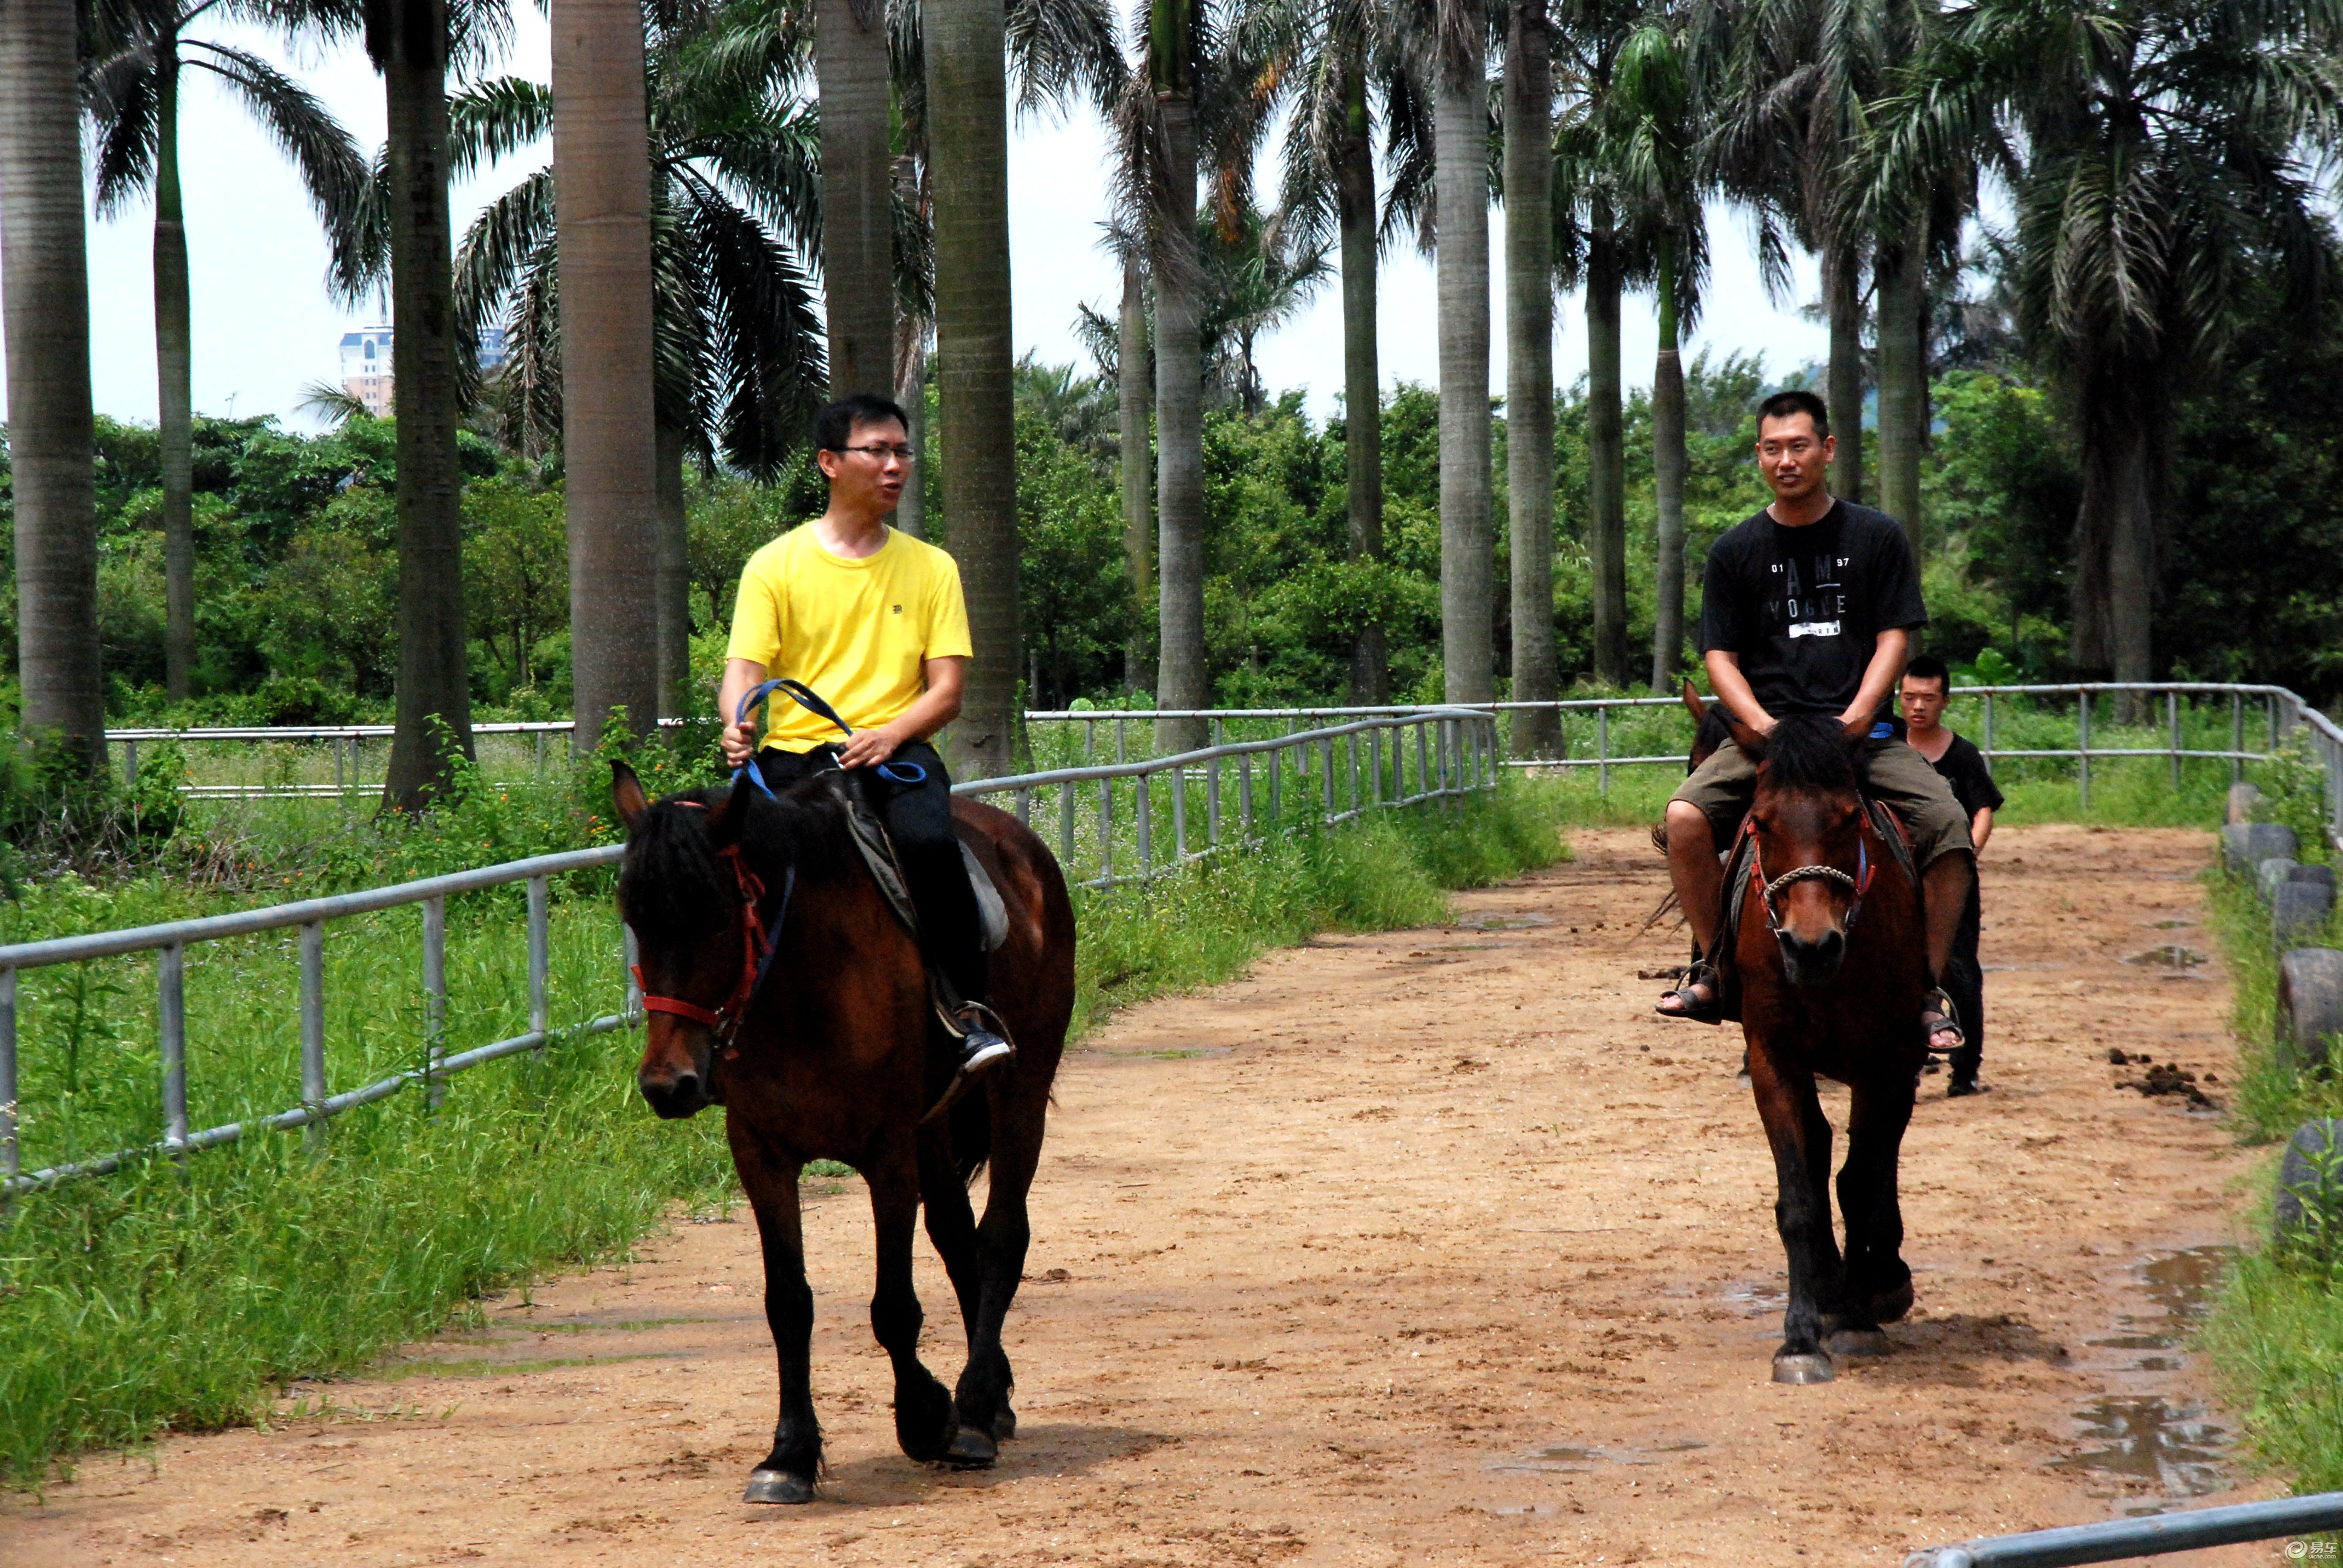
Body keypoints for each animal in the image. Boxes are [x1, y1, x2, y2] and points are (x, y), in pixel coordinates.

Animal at [609, 764, 1073, 1500]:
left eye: (716, 919)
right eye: (636, 921)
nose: (668, 1085)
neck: (800, 984)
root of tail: (1022, 847)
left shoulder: (886, 1152)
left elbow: (894, 1306)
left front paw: (926, 1417)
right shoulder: (760, 1153)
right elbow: (787, 1304)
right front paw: (789, 1455)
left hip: (1017, 1090)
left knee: (1002, 1235)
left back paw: (972, 1414)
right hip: (933, 1127)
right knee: (956, 1236)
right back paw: (994, 1400)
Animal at [1724, 708, 1921, 1378]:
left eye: (1848, 818)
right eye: (1760, 822)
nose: (1810, 946)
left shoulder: (1883, 1063)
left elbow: (1860, 1187)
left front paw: (1859, 1319)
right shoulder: (1773, 1060)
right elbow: (1800, 1198)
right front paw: (1800, 1337)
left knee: (1876, 1165)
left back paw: (1882, 1281)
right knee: (1820, 1151)